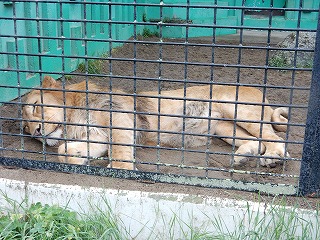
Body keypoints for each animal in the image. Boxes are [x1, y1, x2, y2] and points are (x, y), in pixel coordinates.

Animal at [21, 76, 288, 170]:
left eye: (35, 106)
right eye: (24, 127)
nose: (36, 132)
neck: (73, 117)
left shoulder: (119, 117)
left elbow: (119, 150)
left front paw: (119, 170)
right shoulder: (98, 136)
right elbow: (65, 150)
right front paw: (78, 159)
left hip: (236, 108)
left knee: (274, 137)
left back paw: (273, 158)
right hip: (224, 127)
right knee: (256, 140)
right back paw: (244, 155)